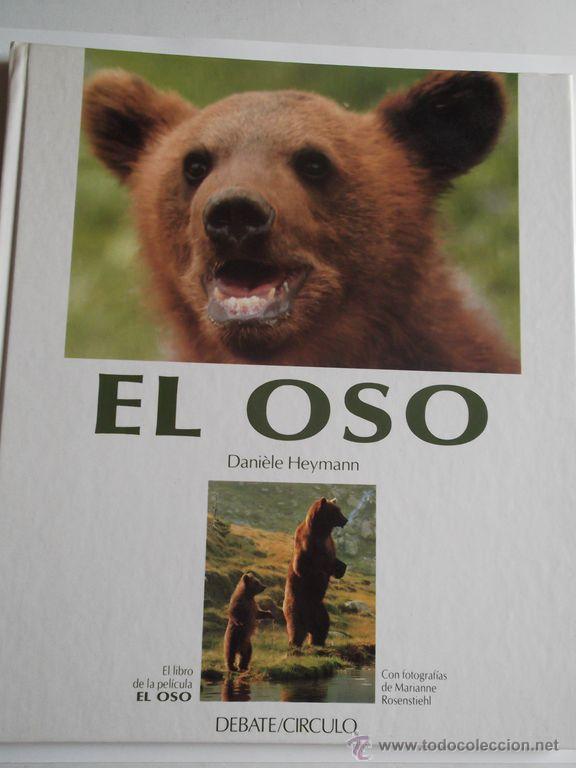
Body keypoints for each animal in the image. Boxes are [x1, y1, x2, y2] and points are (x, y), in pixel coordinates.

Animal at [283, 497, 348, 648]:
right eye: (336, 511)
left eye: (339, 509)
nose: (345, 520)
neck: (321, 531)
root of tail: (309, 625)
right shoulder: (308, 545)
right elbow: (303, 567)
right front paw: (323, 575)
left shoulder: (328, 544)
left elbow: (334, 560)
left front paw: (341, 568)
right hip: (297, 606)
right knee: (296, 629)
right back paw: (294, 645)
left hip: (320, 609)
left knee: (322, 626)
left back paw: (318, 642)